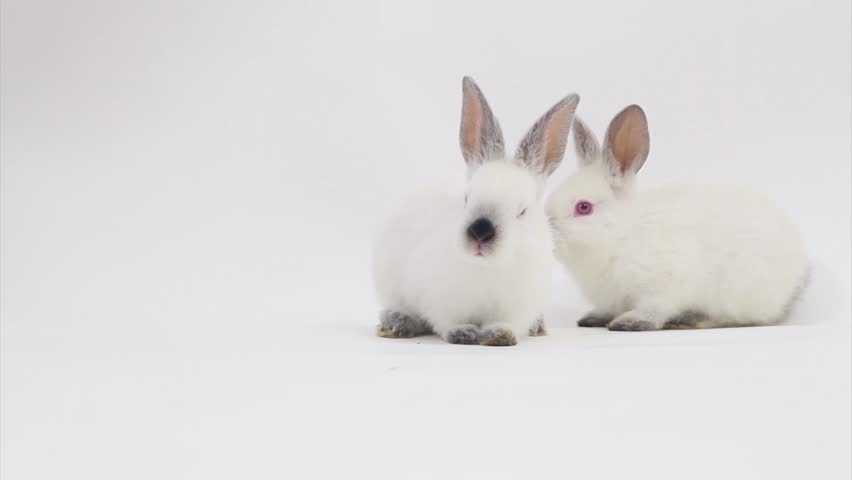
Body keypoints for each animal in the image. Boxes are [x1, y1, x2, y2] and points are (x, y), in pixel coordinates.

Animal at [372, 77, 579, 346]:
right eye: (466, 198)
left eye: (522, 211)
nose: (480, 232)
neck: (486, 268)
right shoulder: (440, 300)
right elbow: (447, 322)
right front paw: (463, 333)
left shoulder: (519, 307)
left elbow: (509, 324)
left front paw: (499, 336)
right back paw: (398, 323)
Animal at [546, 104, 809, 331]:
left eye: (583, 207)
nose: (548, 232)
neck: (621, 235)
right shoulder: (610, 297)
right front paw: (593, 318)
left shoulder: (664, 285)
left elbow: (654, 308)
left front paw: (630, 322)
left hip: (739, 293)